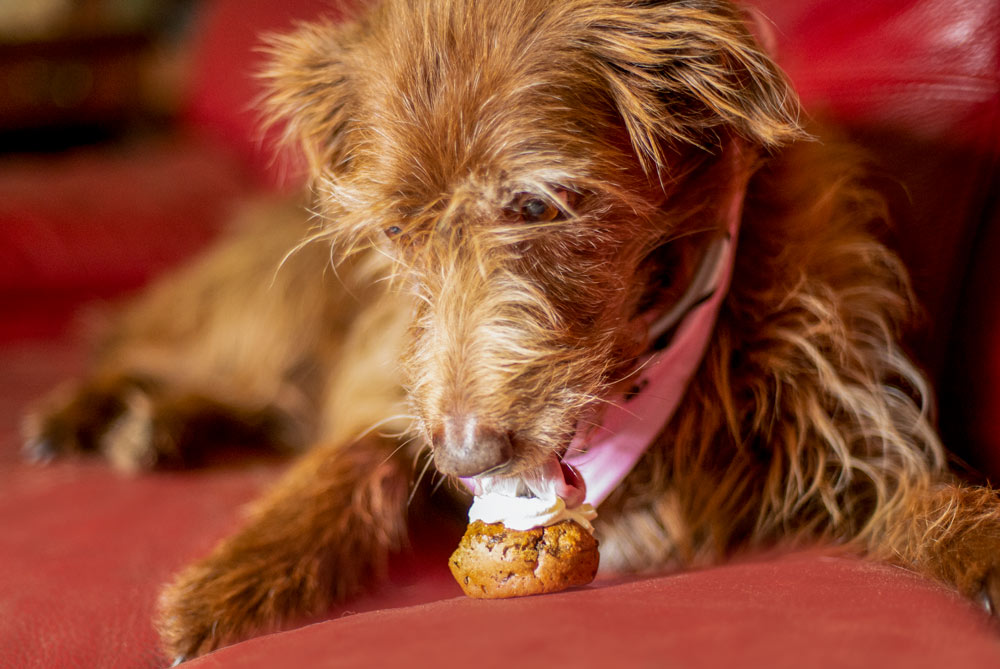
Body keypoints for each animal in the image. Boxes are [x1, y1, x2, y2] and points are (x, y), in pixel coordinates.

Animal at [19, 0, 1000, 660]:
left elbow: (928, 501)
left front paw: (983, 544)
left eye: (536, 203)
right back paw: (98, 410)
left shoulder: (855, 446)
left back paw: (159, 425)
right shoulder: (393, 376)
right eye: (395, 228)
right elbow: (349, 457)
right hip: (281, 298)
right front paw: (232, 577)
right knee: (175, 354)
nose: (466, 456)